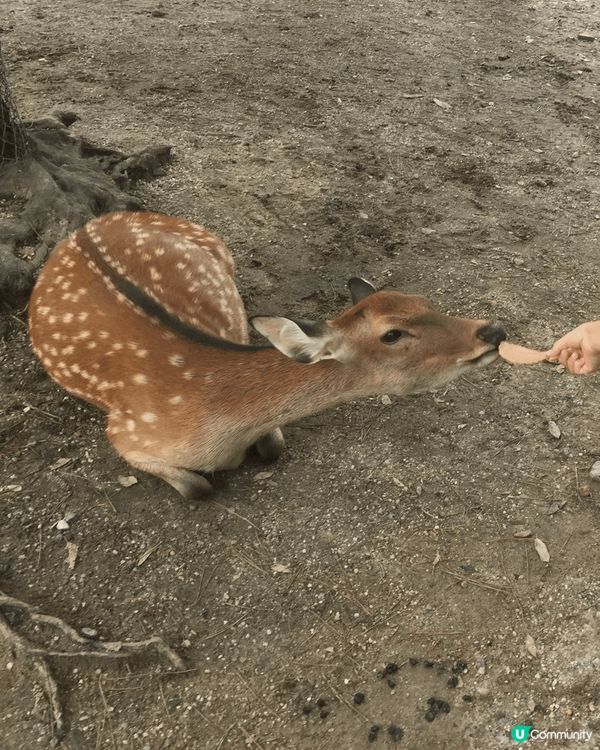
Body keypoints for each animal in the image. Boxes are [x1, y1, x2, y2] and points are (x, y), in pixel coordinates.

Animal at [28, 211, 506, 500]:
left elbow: (274, 447)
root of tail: (82, 226)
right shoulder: (125, 434)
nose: (493, 331)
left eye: (422, 299)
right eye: (392, 334)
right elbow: (199, 489)